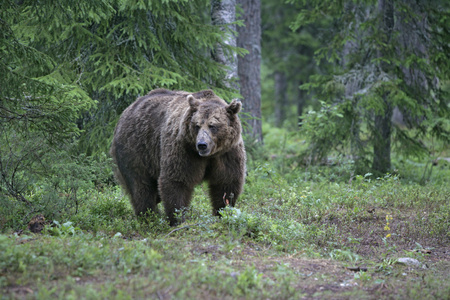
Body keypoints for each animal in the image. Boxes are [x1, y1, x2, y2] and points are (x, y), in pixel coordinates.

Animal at [111, 88, 246, 225]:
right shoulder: (184, 149)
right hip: (136, 150)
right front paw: (178, 218)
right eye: (197, 125)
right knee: (140, 186)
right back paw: (148, 217)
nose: (202, 145)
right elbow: (176, 180)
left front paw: (222, 213)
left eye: (212, 126)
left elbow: (226, 183)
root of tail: (126, 111)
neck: (209, 155)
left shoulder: (227, 153)